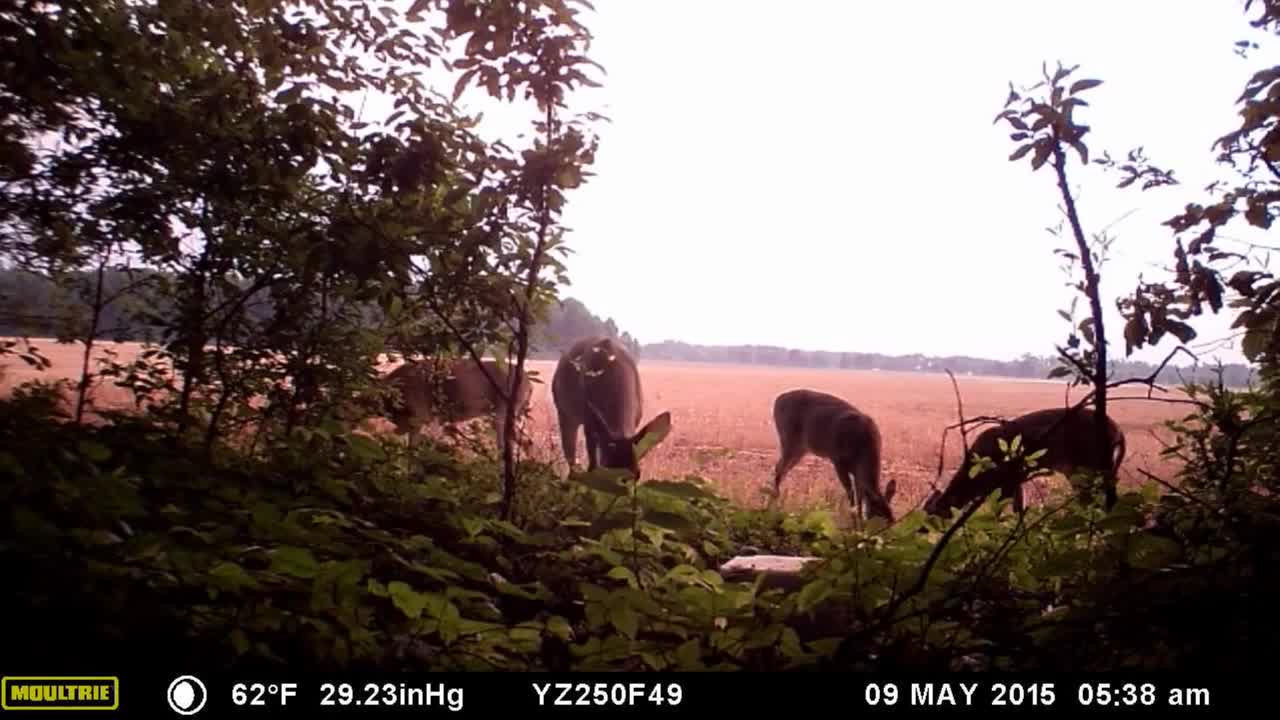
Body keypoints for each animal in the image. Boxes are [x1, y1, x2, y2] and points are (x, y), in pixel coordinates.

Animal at [547, 335, 670, 479]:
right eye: (607, 469)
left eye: (638, 474)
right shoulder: (589, 418)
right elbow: (593, 461)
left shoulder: (635, 420)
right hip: (563, 410)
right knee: (569, 447)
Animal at [768, 386, 901, 520]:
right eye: (879, 516)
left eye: (892, 519)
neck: (862, 448)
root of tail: (778, 399)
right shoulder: (838, 460)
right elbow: (850, 491)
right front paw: (853, 517)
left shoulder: (856, 471)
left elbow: (860, 494)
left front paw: (859, 518)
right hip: (788, 439)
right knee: (779, 467)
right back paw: (774, 499)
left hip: (801, 448)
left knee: (782, 468)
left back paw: (775, 497)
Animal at [921, 404, 1131, 515]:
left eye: (933, 511)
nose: (921, 529)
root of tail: (1118, 432)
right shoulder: (1016, 478)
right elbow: (1019, 506)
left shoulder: (1007, 479)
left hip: (1089, 463)